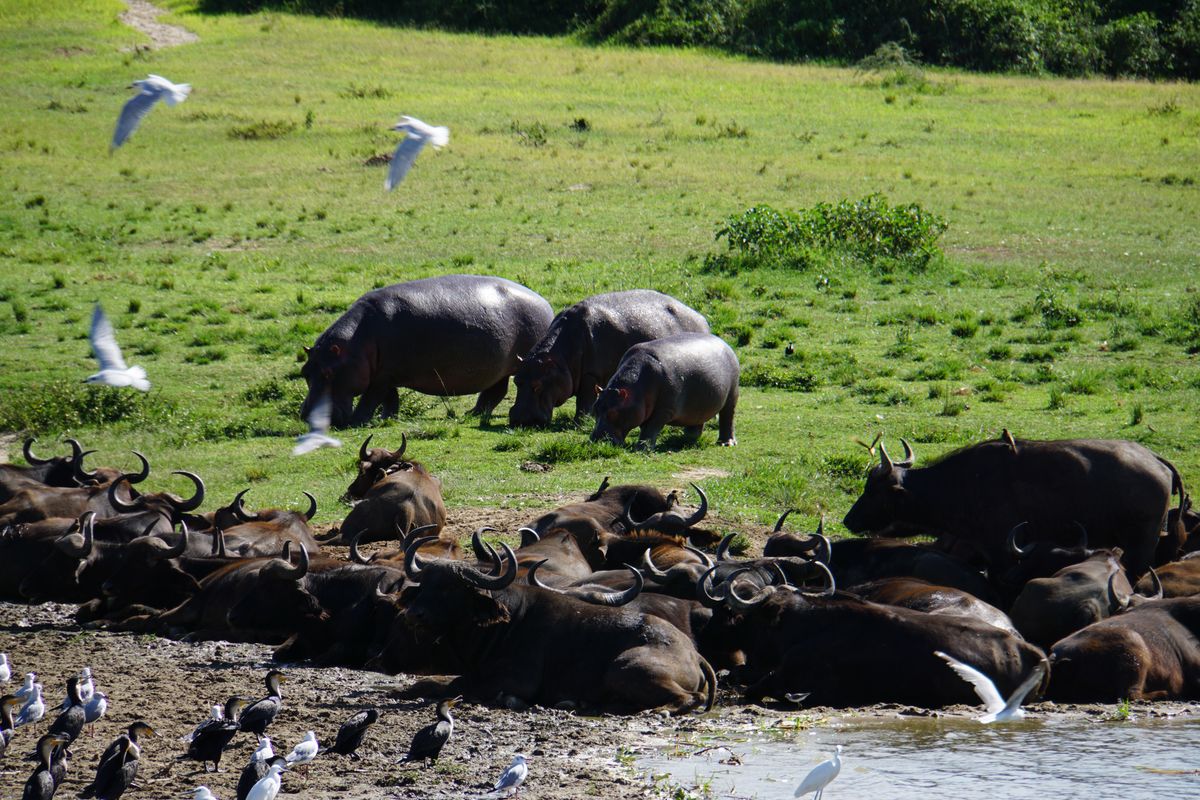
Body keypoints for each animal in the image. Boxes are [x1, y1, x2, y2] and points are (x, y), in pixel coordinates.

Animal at [300, 275, 554, 427]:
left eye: (328, 373)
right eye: (305, 372)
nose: (305, 415)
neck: (356, 342)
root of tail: (545, 302)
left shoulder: (380, 378)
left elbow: (370, 399)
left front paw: (357, 421)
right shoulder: (386, 374)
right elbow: (391, 399)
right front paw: (387, 419)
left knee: (496, 392)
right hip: (499, 369)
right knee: (494, 392)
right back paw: (472, 413)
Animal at [508, 290, 710, 428]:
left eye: (537, 385)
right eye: (516, 380)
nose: (518, 419)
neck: (560, 360)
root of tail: (702, 318)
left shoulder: (591, 375)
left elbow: (584, 401)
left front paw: (580, 422)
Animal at [590, 333, 739, 450]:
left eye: (613, 413)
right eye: (595, 408)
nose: (595, 440)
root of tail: (724, 343)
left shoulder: (664, 410)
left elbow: (650, 428)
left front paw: (641, 448)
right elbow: (645, 427)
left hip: (732, 395)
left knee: (728, 417)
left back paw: (726, 443)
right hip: (699, 403)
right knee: (697, 421)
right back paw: (686, 438)